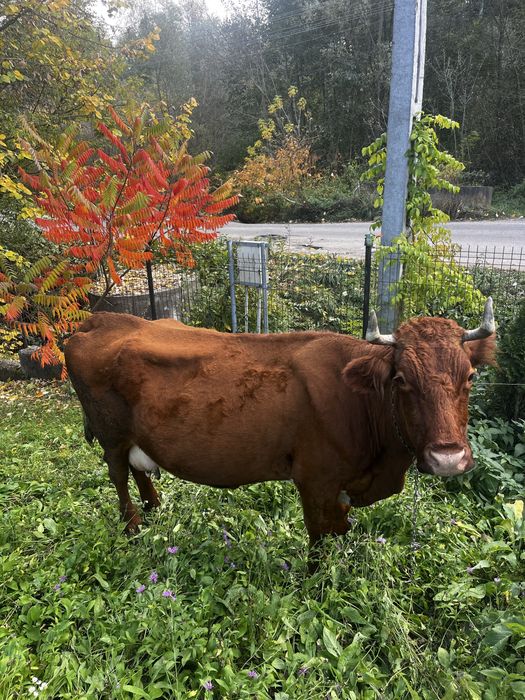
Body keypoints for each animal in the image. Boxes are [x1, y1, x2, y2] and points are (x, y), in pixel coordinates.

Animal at [64, 299, 496, 547]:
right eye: (402, 379)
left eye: (471, 375)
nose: (447, 458)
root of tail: (100, 319)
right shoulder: (314, 479)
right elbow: (320, 537)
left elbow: (341, 528)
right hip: (110, 435)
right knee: (119, 476)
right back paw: (134, 527)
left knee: (140, 471)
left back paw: (154, 509)